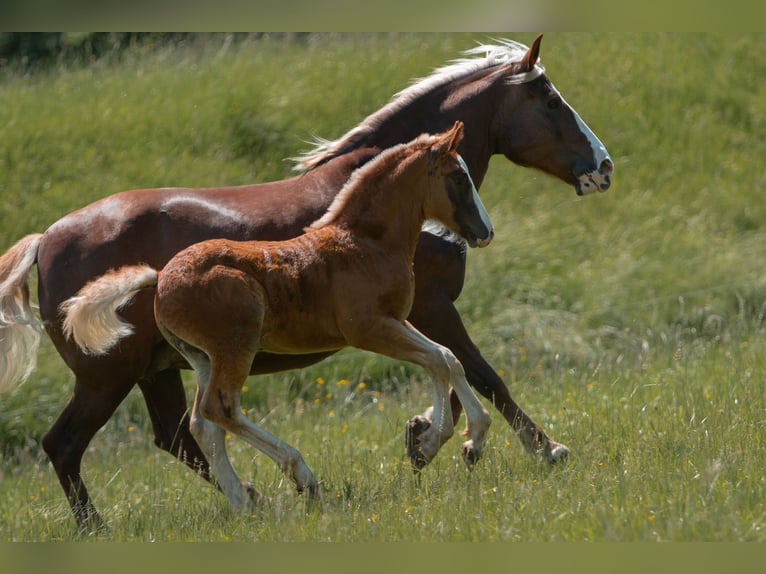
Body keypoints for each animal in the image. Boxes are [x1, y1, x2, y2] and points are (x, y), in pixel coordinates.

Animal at [63, 122, 498, 512]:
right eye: (459, 177)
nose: (485, 232)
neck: (364, 243)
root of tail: (159, 276)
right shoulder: (369, 329)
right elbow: (439, 359)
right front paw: (441, 442)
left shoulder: (396, 321)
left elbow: (445, 359)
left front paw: (453, 442)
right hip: (236, 346)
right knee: (219, 410)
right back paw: (300, 476)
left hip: (202, 357)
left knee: (203, 424)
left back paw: (244, 504)